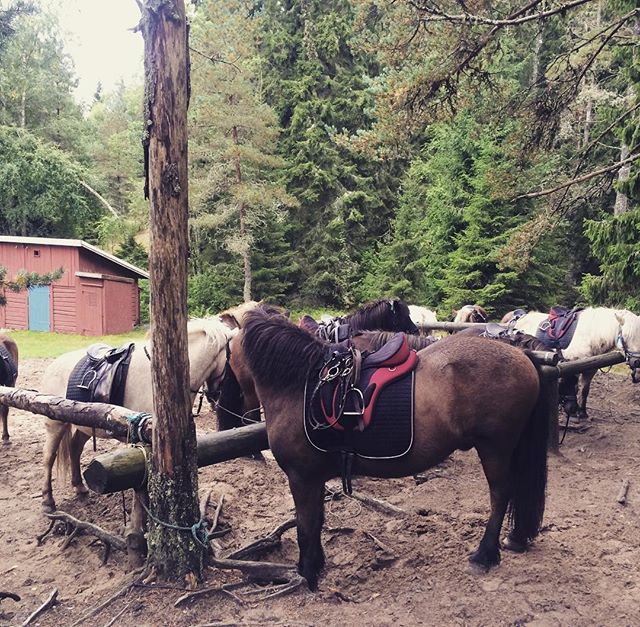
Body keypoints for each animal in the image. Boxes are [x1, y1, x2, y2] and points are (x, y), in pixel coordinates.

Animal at [235, 308, 552, 588]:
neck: (302, 385)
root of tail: (521, 354)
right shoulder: (313, 479)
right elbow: (316, 522)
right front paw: (315, 566)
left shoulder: (301, 477)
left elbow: (305, 526)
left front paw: (308, 573)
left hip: (494, 447)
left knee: (500, 493)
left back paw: (484, 556)